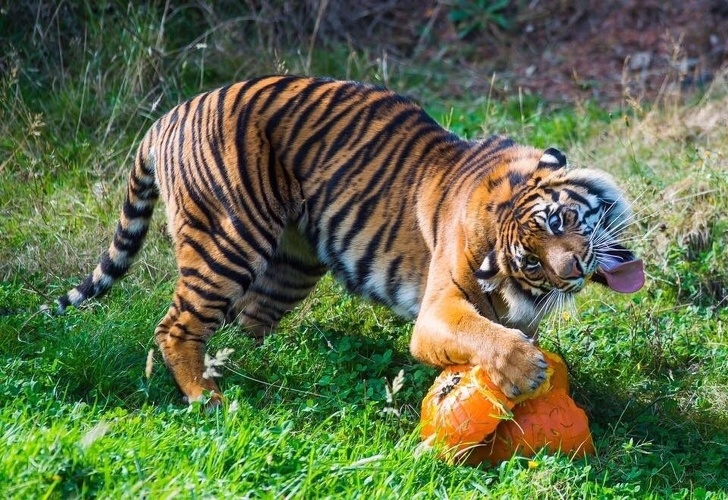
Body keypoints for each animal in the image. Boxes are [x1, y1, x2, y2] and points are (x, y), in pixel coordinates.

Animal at [59, 77, 644, 406]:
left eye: (561, 220)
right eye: (533, 261)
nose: (571, 270)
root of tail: (166, 118)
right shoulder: (438, 310)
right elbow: (483, 335)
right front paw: (526, 369)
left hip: (293, 264)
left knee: (248, 321)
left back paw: (260, 367)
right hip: (228, 240)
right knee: (176, 325)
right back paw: (210, 399)